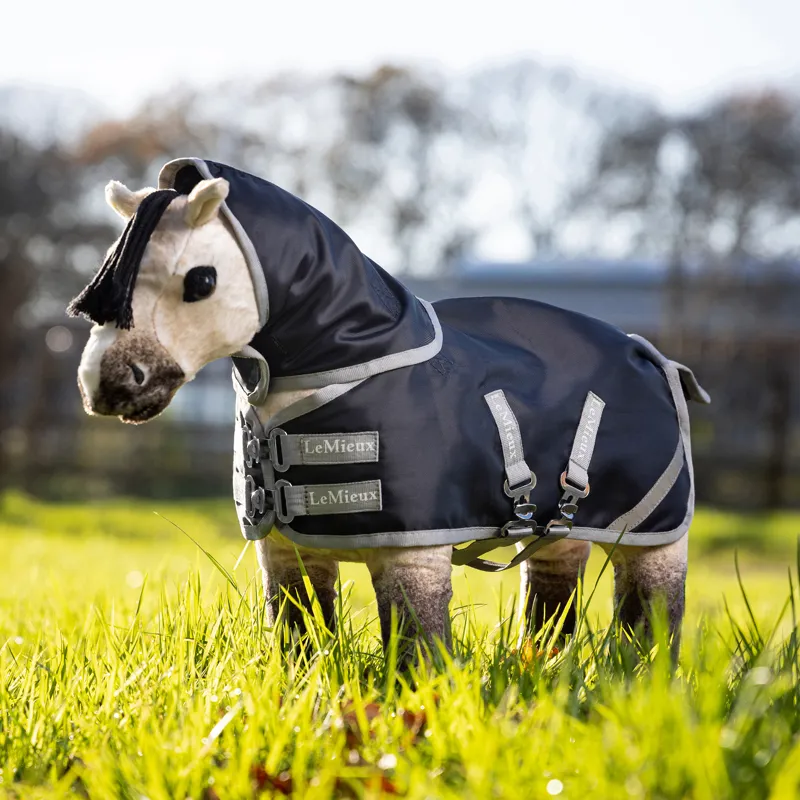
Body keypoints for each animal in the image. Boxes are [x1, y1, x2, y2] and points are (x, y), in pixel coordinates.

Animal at [69, 158, 709, 659]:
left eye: (201, 280)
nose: (107, 385)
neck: (352, 365)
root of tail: (651, 354)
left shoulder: (414, 554)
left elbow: (415, 648)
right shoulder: (288, 552)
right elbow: (300, 639)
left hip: (652, 535)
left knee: (653, 613)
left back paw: (640, 679)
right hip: (560, 531)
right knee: (553, 598)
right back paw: (543, 665)